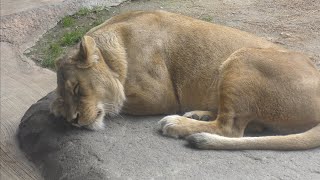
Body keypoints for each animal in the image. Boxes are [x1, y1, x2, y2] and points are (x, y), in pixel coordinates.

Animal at [50, 10, 320, 150]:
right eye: (65, 93)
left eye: (77, 88)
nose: (73, 121)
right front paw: (56, 106)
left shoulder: (160, 97)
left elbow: (118, 102)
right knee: (248, 125)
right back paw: (198, 115)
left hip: (242, 58)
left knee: (231, 129)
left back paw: (177, 124)